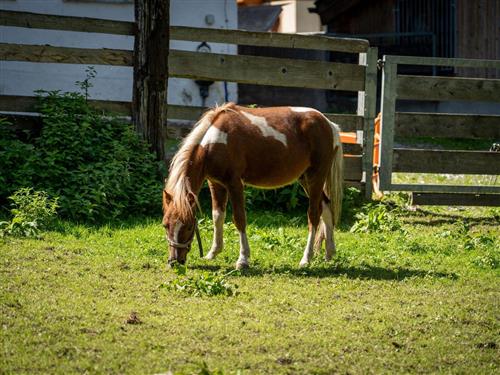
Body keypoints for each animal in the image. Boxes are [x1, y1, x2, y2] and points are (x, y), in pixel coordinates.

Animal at [162, 102, 342, 270]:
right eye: (165, 225)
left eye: (188, 226)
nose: (174, 261)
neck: (216, 142)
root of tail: (328, 124)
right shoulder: (215, 183)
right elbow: (217, 216)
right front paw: (213, 253)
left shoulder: (234, 183)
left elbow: (239, 218)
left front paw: (243, 260)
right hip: (305, 179)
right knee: (326, 207)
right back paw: (329, 253)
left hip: (315, 177)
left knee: (313, 215)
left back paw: (306, 258)